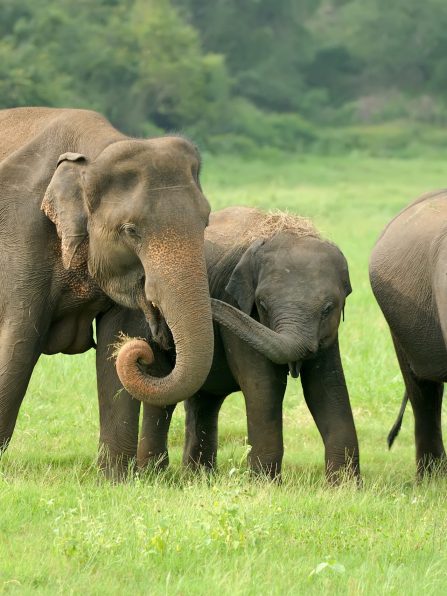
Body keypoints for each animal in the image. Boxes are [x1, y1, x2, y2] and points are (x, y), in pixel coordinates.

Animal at [0, 108, 215, 460]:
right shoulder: (19, 237)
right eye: (130, 230)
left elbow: (117, 341)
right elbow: (19, 343)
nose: (152, 347)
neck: (96, 149)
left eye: (206, 222)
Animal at [98, 207, 360, 482]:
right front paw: (265, 485)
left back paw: (198, 477)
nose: (154, 301)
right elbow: (264, 386)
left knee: (204, 400)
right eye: (262, 305)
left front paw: (345, 486)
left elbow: (326, 386)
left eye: (328, 308)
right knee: (163, 395)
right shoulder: (239, 311)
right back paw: (156, 475)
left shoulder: (329, 335)